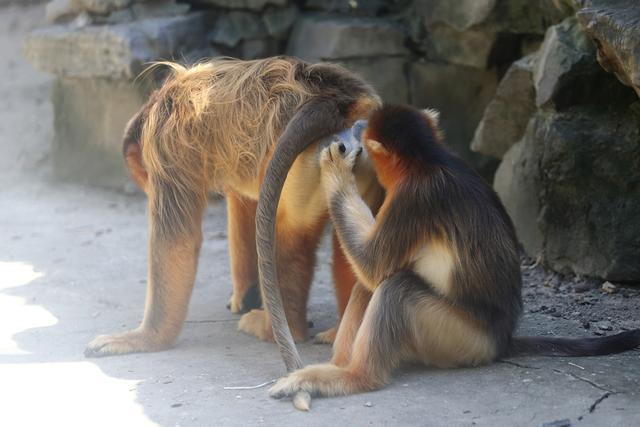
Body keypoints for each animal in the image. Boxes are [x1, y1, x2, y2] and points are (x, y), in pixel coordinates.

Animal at [85, 56, 384, 358]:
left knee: (287, 234)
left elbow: (178, 242)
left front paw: (147, 338)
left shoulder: (165, 145)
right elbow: (246, 206)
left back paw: (278, 329)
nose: (145, 184)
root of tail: (337, 99)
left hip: (306, 166)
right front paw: (244, 295)